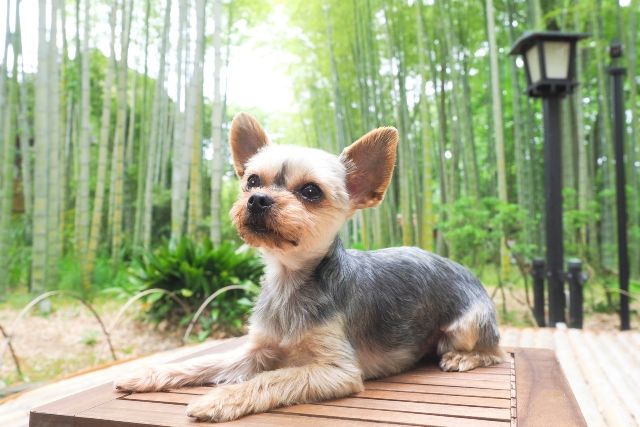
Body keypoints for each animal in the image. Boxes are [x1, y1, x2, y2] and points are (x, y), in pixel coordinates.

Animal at [115, 112, 504, 422]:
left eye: (311, 191)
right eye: (252, 181)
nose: (257, 200)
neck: (289, 282)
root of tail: (469, 273)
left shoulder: (337, 371)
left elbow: (274, 377)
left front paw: (221, 398)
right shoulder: (258, 349)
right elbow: (205, 363)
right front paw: (147, 374)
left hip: (466, 327)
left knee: (495, 353)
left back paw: (462, 359)